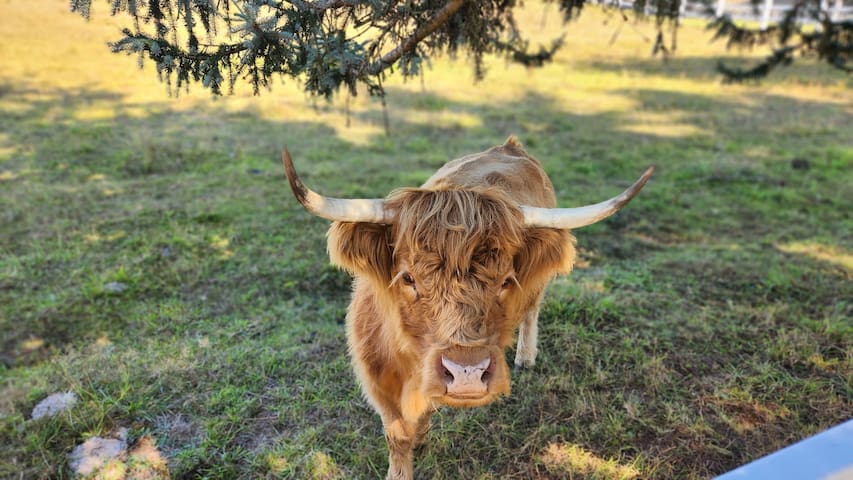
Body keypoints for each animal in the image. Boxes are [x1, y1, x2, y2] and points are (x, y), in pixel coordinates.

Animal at [282, 137, 652, 478]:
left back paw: (526, 356)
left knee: (532, 310)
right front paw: (412, 449)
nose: (467, 374)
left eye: (505, 281)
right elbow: (398, 435)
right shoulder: (377, 378)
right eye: (408, 278)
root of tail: (510, 145)